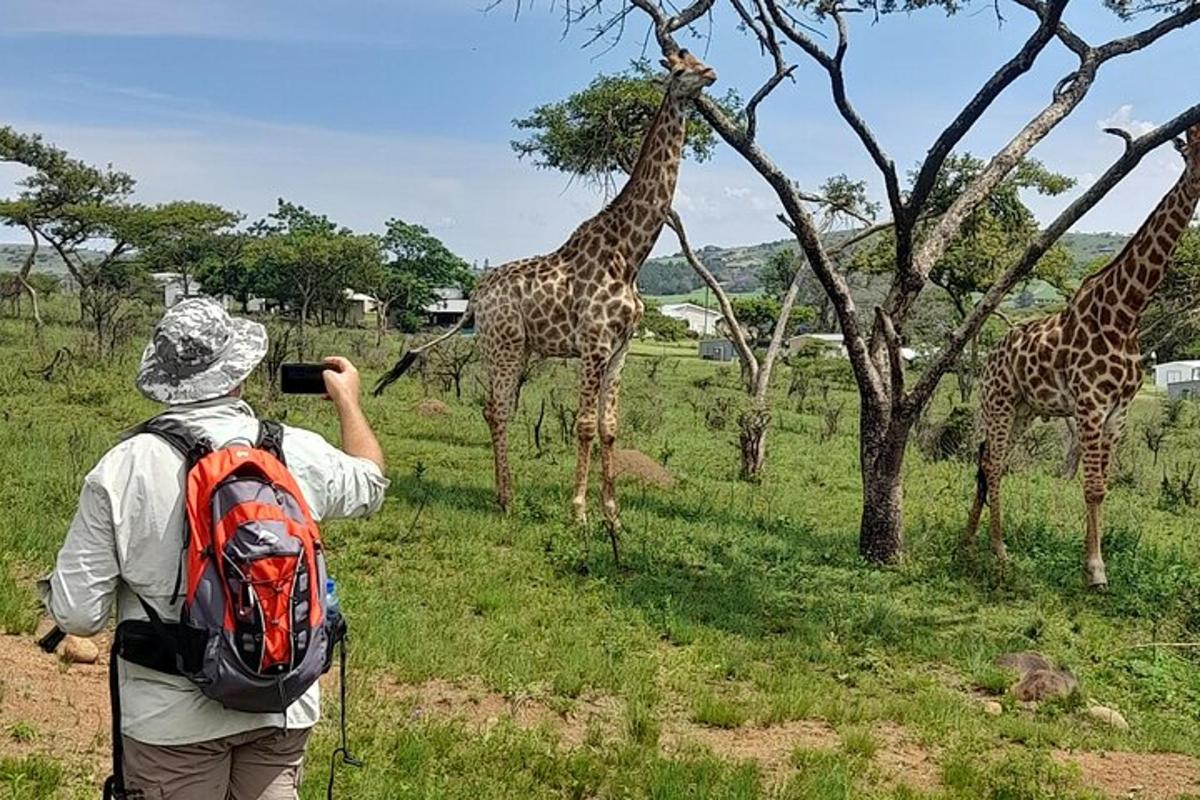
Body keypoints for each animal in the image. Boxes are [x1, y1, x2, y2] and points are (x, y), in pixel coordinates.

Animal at [374, 48, 710, 556]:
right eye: (677, 69)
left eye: (695, 57)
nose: (709, 74)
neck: (629, 254)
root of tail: (475, 297)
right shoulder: (593, 345)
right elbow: (585, 425)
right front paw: (580, 515)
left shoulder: (621, 348)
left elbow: (610, 426)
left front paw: (615, 519)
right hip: (504, 346)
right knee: (496, 410)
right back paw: (508, 499)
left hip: (515, 349)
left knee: (498, 410)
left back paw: (502, 494)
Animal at [964, 125, 1200, 587]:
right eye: (1191, 149)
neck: (1127, 312)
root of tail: (990, 355)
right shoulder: (1091, 405)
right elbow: (1091, 487)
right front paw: (1095, 571)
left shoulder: (1119, 412)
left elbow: (1104, 486)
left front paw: (1092, 561)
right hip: (998, 402)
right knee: (995, 465)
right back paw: (999, 551)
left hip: (1024, 410)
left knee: (985, 460)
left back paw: (968, 539)